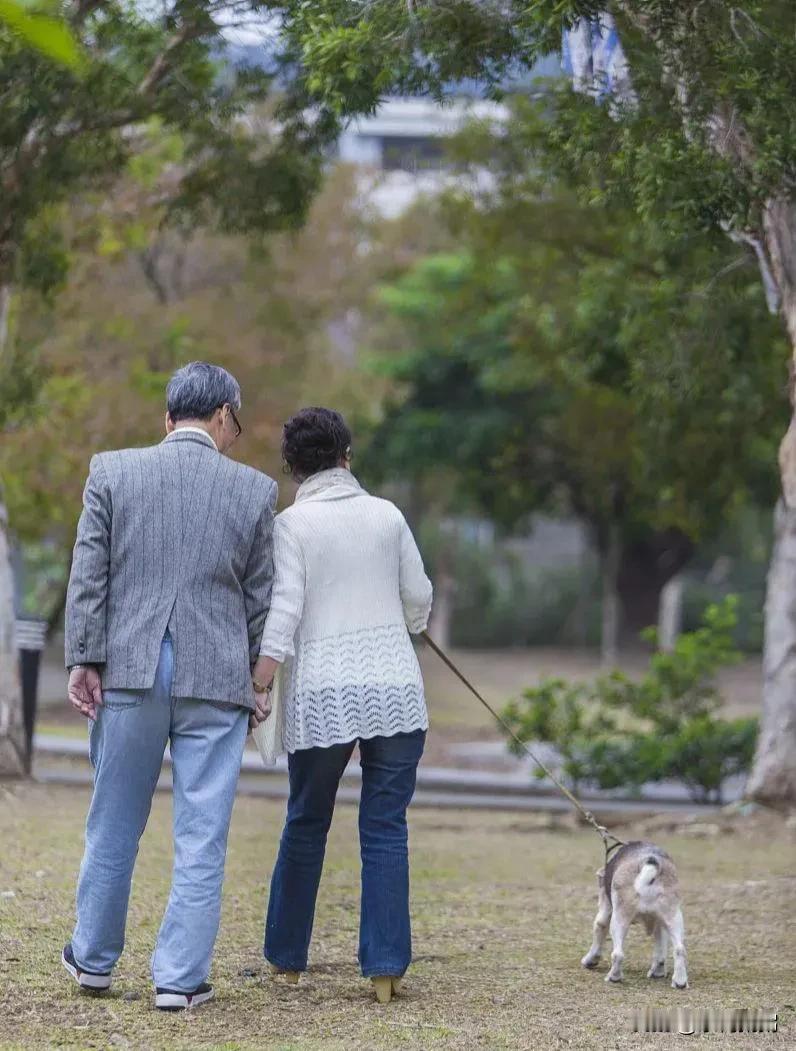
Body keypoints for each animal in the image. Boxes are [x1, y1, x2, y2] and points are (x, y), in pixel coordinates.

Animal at [580, 840, 685, 987]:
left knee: (618, 954)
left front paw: (589, 961)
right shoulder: (660, 923)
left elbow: (599, 931)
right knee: (679, 949)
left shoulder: (605, 913)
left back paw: (614, 977)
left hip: (619, 920)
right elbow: (660, 953)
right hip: (674, 917)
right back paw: (680, 981)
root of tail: (650, 862)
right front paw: (658, 972)